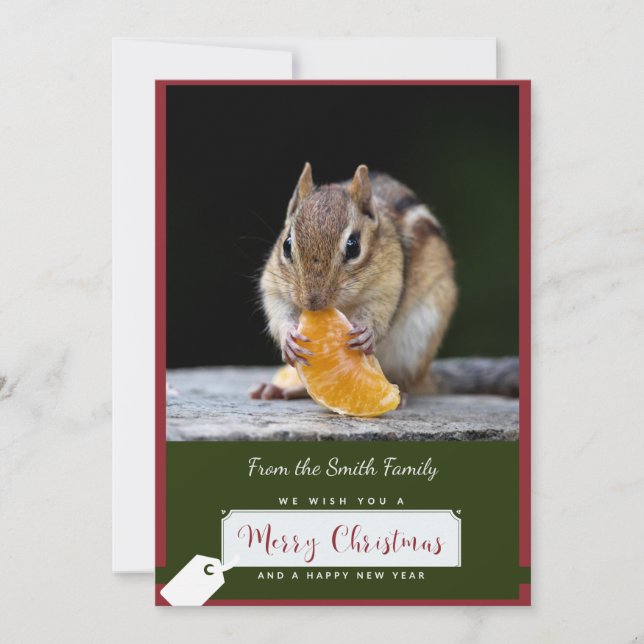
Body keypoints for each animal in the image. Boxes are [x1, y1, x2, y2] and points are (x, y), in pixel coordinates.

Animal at [249, 162, 457, 401]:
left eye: (353, 246)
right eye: (286, 244)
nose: (312, 303)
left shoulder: (389, 284)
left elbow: (379, 309)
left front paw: (367, 331)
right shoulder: (273, 282)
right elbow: (277, 309)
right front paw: (287, 338)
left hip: (414, 346)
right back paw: (282, 389)